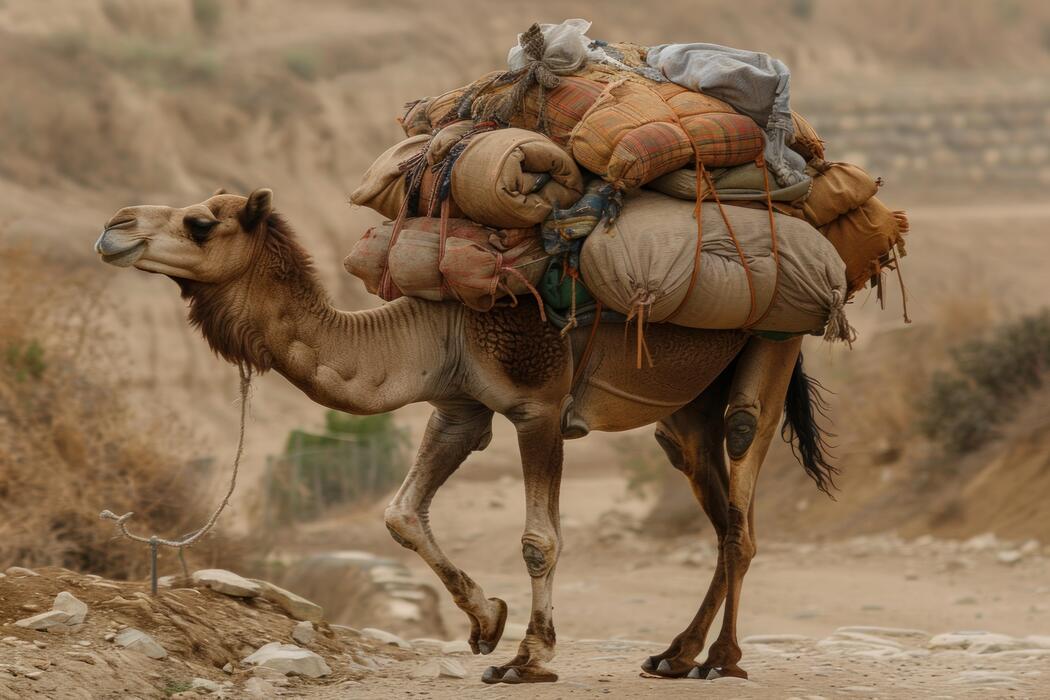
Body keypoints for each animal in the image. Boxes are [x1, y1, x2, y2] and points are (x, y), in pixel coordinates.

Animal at [95, 188, 836, 685]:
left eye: (199, 223)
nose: (113, 227)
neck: (437, 325)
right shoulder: (459, 408)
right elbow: (401, 514)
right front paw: (488, 623)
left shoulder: (539, 404)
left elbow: (540, 540)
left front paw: (528, 659)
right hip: (687, 406)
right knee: (718, 507)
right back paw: (675, 655)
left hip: (773, 343)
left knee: (742, 496)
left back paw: (722, 660)